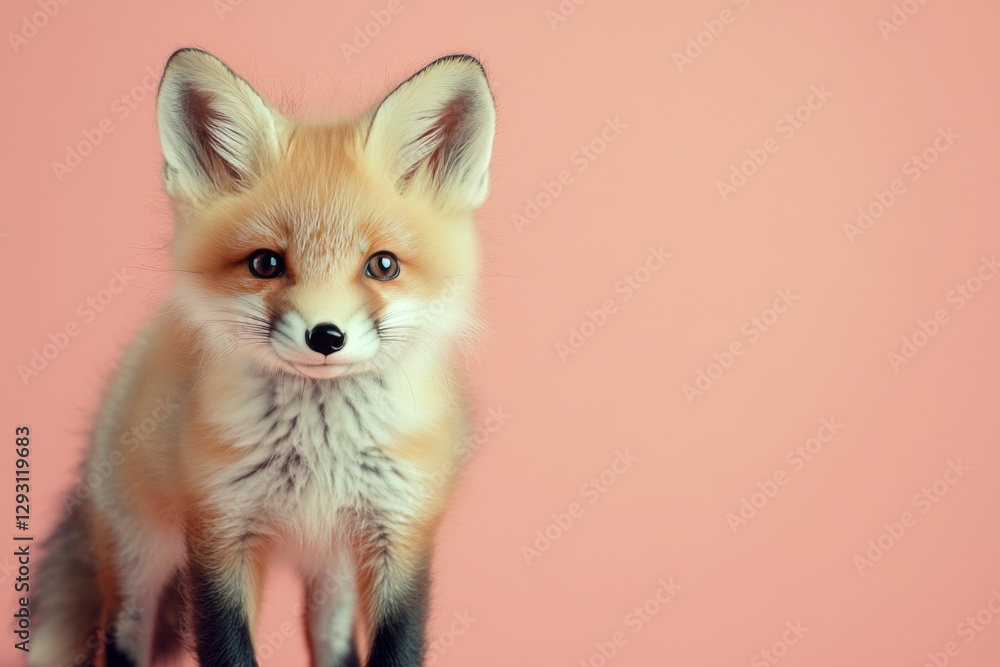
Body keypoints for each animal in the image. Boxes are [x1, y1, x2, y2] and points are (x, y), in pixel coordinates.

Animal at [31, 47, 496, 667]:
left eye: (383, 265)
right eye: (265, 264)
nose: (326, 336)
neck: (322, 451)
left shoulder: (401, 529)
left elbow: (398, 645)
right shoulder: (219, 529)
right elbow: (227, 647)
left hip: (331, 564)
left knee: (332, 639)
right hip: (139, 552)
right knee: (121, 636)